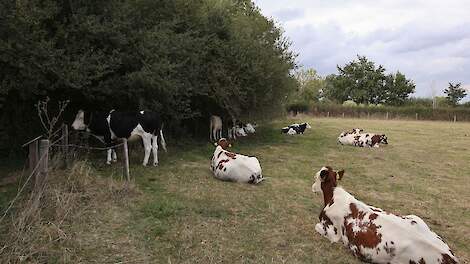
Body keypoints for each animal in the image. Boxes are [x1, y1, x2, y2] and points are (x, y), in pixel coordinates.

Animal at [310, 167, 458, 264]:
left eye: (316, 177)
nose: (312, 187)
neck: (332, 197)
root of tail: (449, 256)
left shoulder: (332, 233)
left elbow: (316, 226)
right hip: (416, 218)